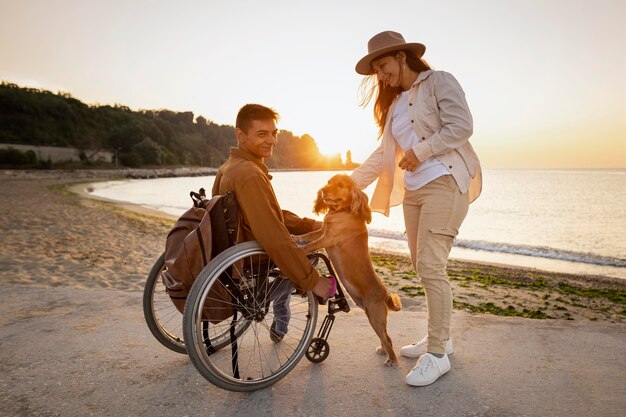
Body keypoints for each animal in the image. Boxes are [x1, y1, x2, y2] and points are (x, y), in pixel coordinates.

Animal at [292, 172, 400, 364]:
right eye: (329, 182)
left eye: (340, 184)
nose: (323, 189)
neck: (341, 212)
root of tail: (385, 294)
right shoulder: (322, 232)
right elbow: (309, 235)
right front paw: (295, 237)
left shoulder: (327, 238)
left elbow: (311, 244)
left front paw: (299, 249)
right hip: (372, 316)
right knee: (387, 337)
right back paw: (383, 351)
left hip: (375, 317)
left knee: (387, 339)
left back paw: (392, 360)